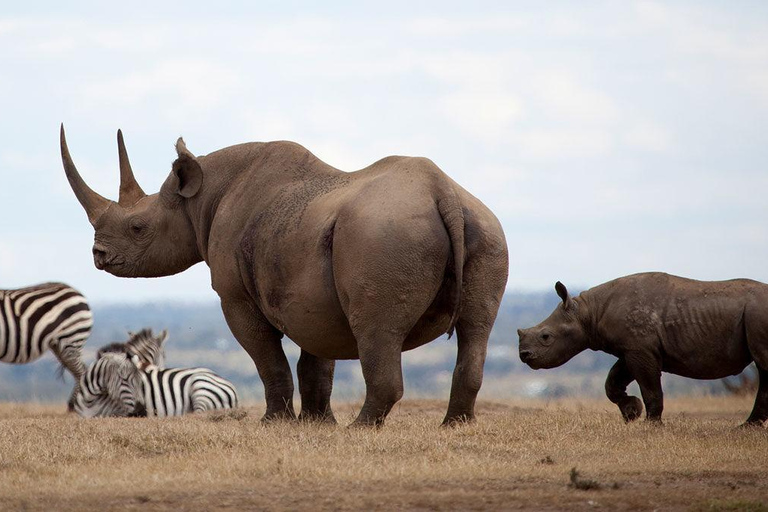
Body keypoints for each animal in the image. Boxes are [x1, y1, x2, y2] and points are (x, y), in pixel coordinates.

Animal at [75, 354, 238, 418]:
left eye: (141, 382)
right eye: (124, 380)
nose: (141, 410)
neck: (91, 400)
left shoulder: (117, 414)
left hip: (200, 387)